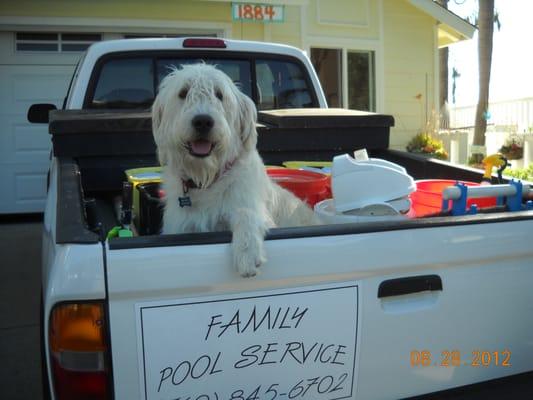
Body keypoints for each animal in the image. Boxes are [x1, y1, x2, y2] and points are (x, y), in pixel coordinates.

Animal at [152, 65, 318, 278]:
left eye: (219, 94)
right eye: (183, 92)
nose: (203, 121)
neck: (207, 180)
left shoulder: (250, 205)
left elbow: (246, 213)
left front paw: (247, 252)